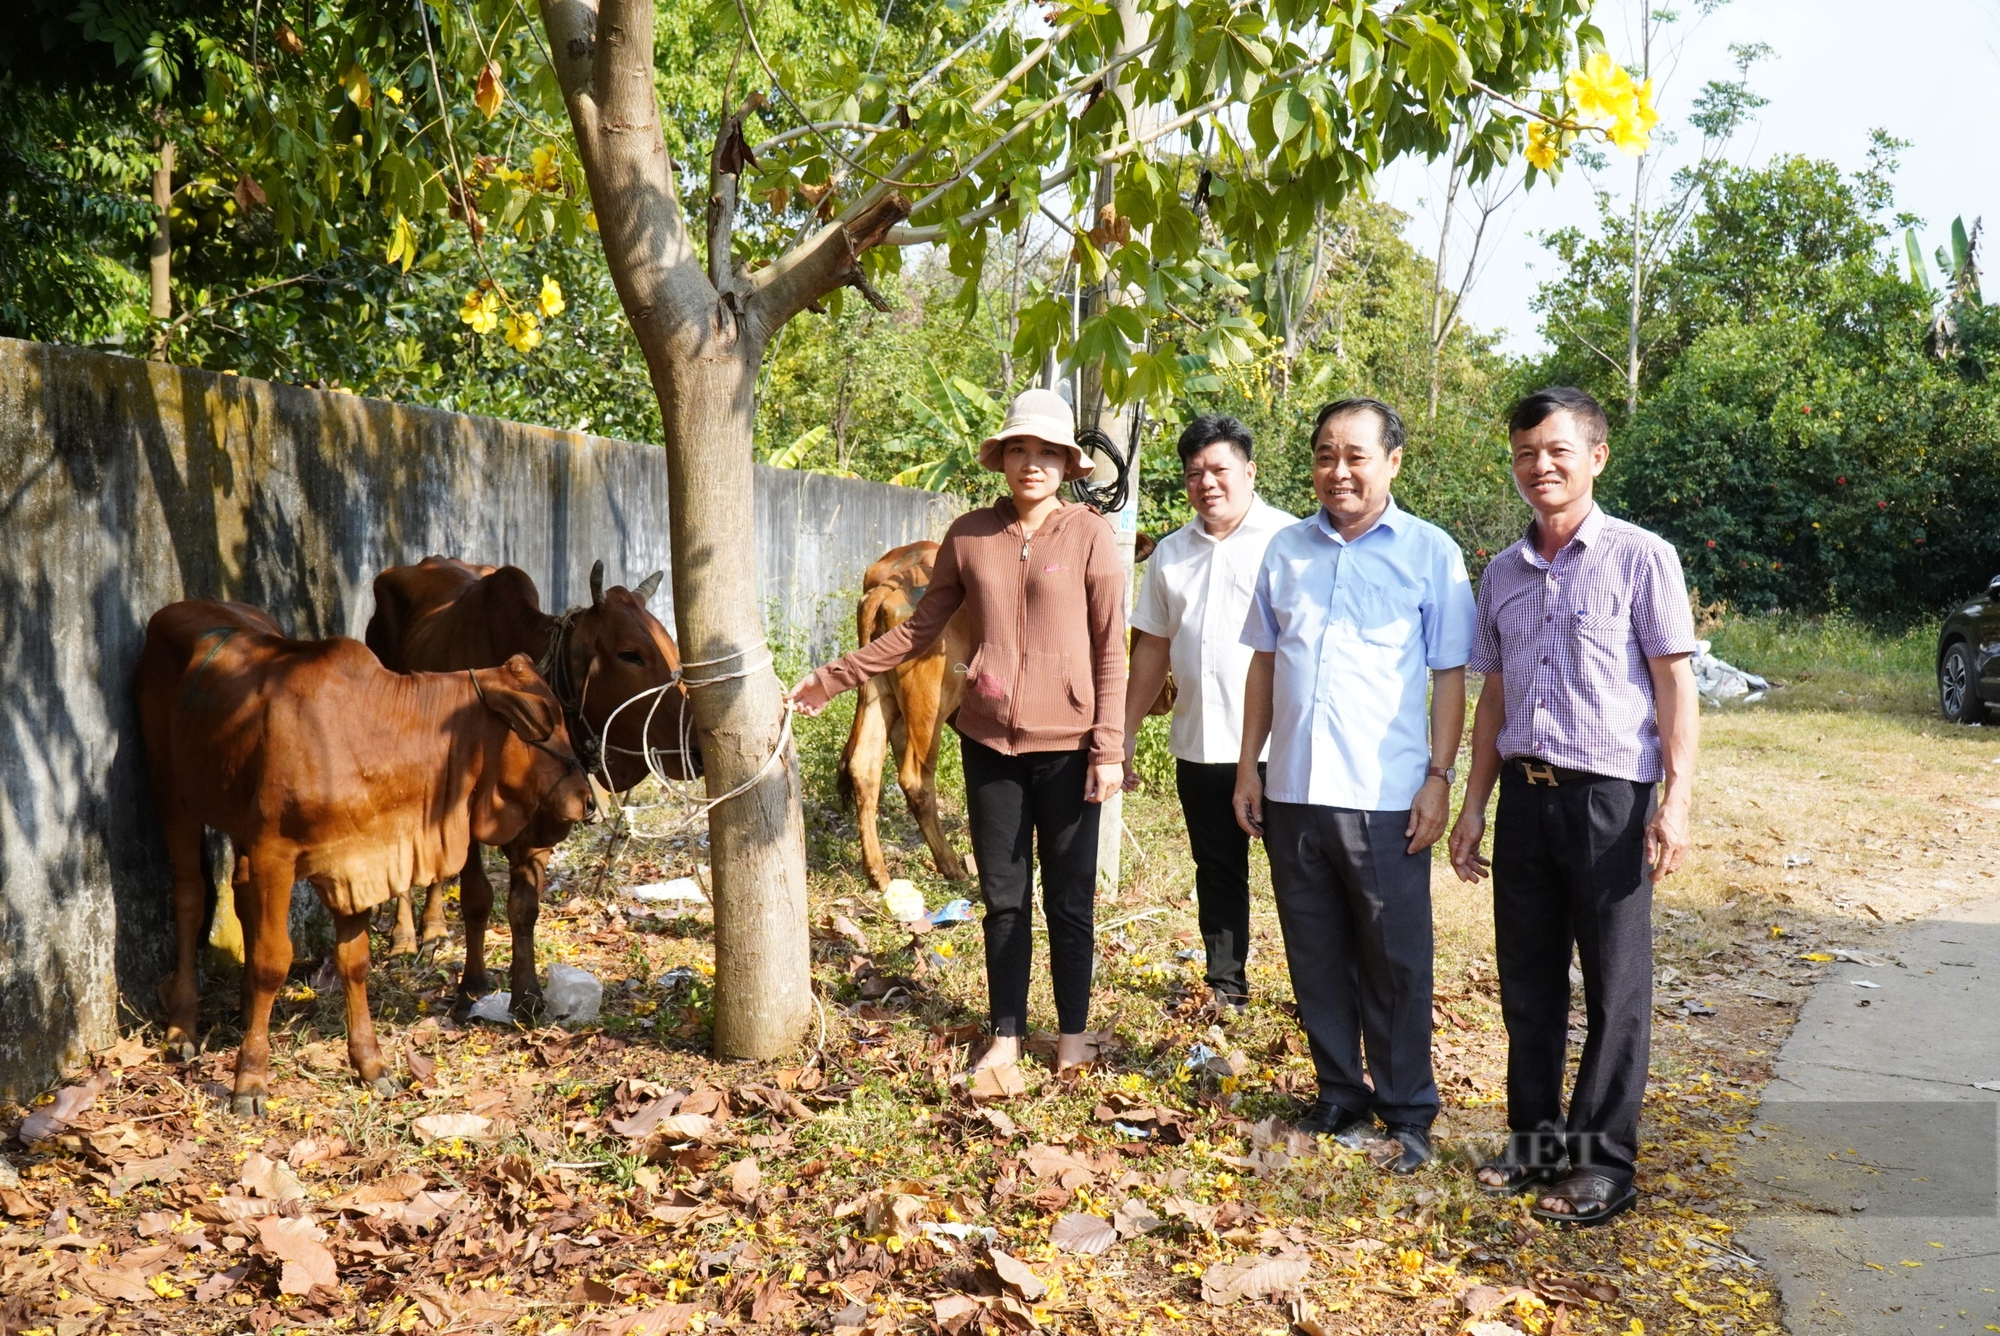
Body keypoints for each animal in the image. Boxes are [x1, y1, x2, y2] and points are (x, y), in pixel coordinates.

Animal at [139, 600, 592, 1112]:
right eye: (545, 718)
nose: (586, 799)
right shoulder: (276, 853)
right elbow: (272, 961)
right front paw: (250, 1079)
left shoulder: (356, 861)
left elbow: (353, 961)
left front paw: (371, 1065)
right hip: (172, 794)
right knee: (190, 898)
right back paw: (182, 1028)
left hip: (238, 819)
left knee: (240, 894)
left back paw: (243, 1006)